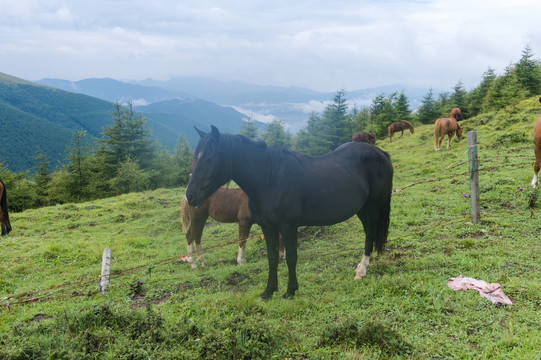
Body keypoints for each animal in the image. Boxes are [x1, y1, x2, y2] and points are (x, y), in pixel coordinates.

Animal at [186, 126, 392, 300]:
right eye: (195, 158)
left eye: (209, 158)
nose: (190, 196)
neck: (270, 180)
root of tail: (380, 153)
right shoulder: (267, 227)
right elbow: (272, 257)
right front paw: (268, 291)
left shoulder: (289, 226)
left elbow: (291, 258)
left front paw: (290, 291)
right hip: (362, 209)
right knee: (369, 233)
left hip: (373, 206)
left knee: (370, 233)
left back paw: (362, 270)